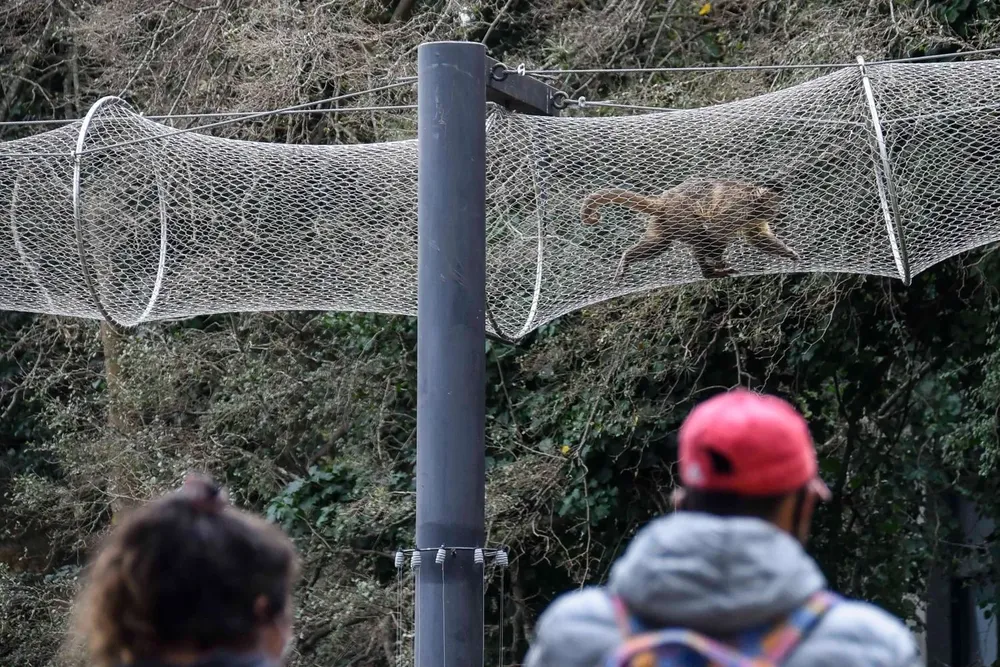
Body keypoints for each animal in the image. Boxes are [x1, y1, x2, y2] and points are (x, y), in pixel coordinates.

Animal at [579, 177, 800, 283]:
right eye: (774, 204)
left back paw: (627, 257)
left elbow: (758, 237)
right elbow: (716, 230)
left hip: (663, 220)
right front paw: (717, 261)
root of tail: (664, 200)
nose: (776, 212)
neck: (753, 201)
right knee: (702, 234)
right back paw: (708, 270)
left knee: (660, 244)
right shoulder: (739, 206)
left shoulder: (753, 216)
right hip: (679, 213)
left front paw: (791, 254)